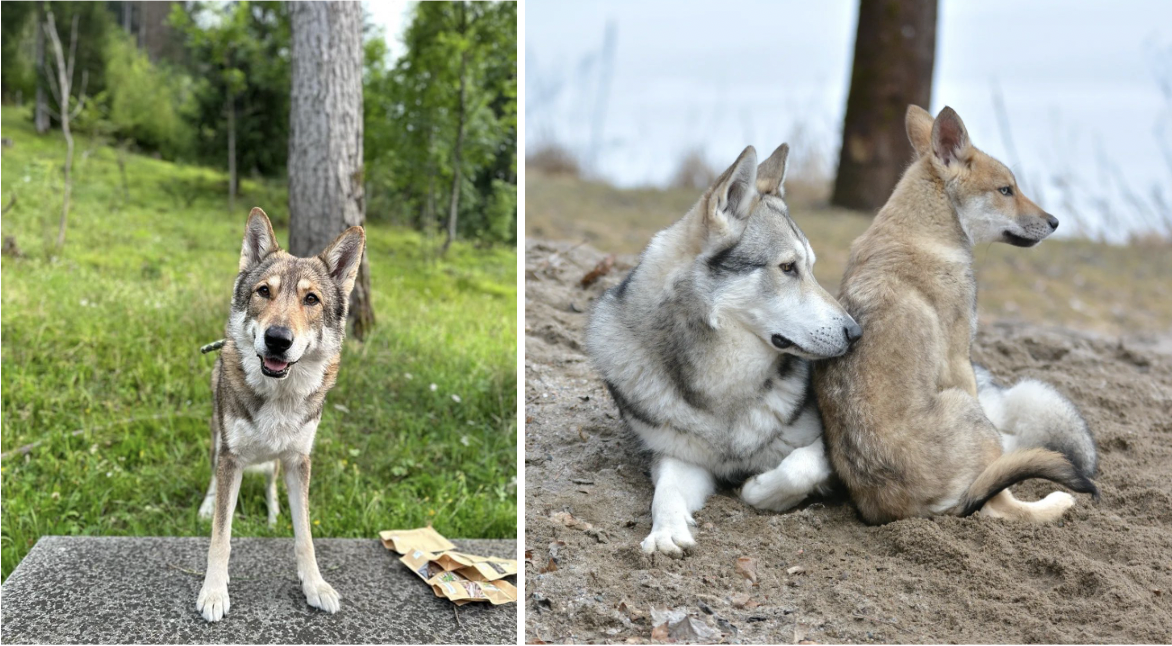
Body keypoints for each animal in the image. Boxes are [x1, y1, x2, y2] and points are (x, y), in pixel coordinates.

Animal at [196, 207, 365, 622]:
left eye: (311, 299)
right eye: (264, 292)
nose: (277, 339)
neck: (279, 395)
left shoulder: (298, 461)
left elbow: (305, 535)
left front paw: (315, 586)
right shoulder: (231, 459)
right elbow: (221, 536)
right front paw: (213, 592)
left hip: (274, 463)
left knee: (271, 486)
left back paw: (272, 517)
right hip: (216, 441)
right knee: (212, 483)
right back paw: (206, 507)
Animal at [587, 144, 863, 557]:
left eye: (811, 269)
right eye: (788, 267)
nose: (856, 332)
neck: (724, 389)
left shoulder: (832, 447)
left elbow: (798, 466)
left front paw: (758, 489)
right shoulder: (679, 457)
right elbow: (665, 494)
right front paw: (666, 534)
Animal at [813, 105, 1098, 526]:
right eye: (1006, 190)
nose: (1055, 222)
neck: (923, 232)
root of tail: (902, 507)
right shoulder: (959, 361)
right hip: (968, 409)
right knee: (999, 502)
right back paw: (1055, 502)